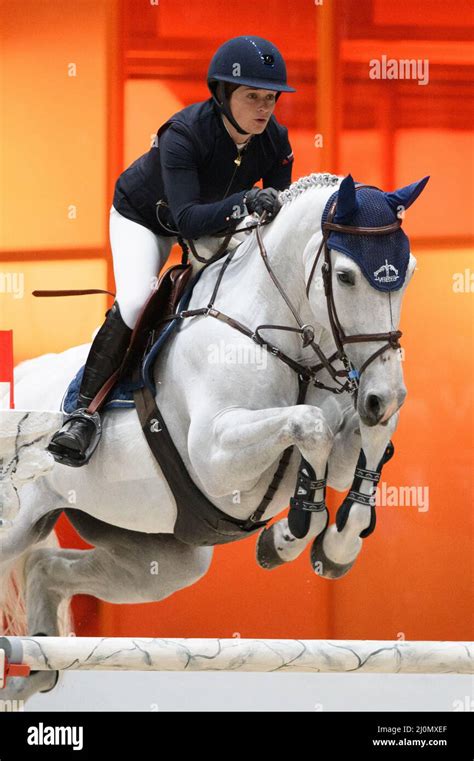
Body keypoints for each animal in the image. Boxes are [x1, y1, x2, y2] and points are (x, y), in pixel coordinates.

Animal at [0, 172, 428, 700]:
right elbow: (310, 424)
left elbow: (357, 445)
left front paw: (331, 547)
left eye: (408, 271)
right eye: (347, 276)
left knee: (46, 568)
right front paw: (290, 535)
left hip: (160, 558)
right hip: (15, 522)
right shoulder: (215, 457)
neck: (281, 337)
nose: (385, 395)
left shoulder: (339, 440)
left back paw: (34, 671)